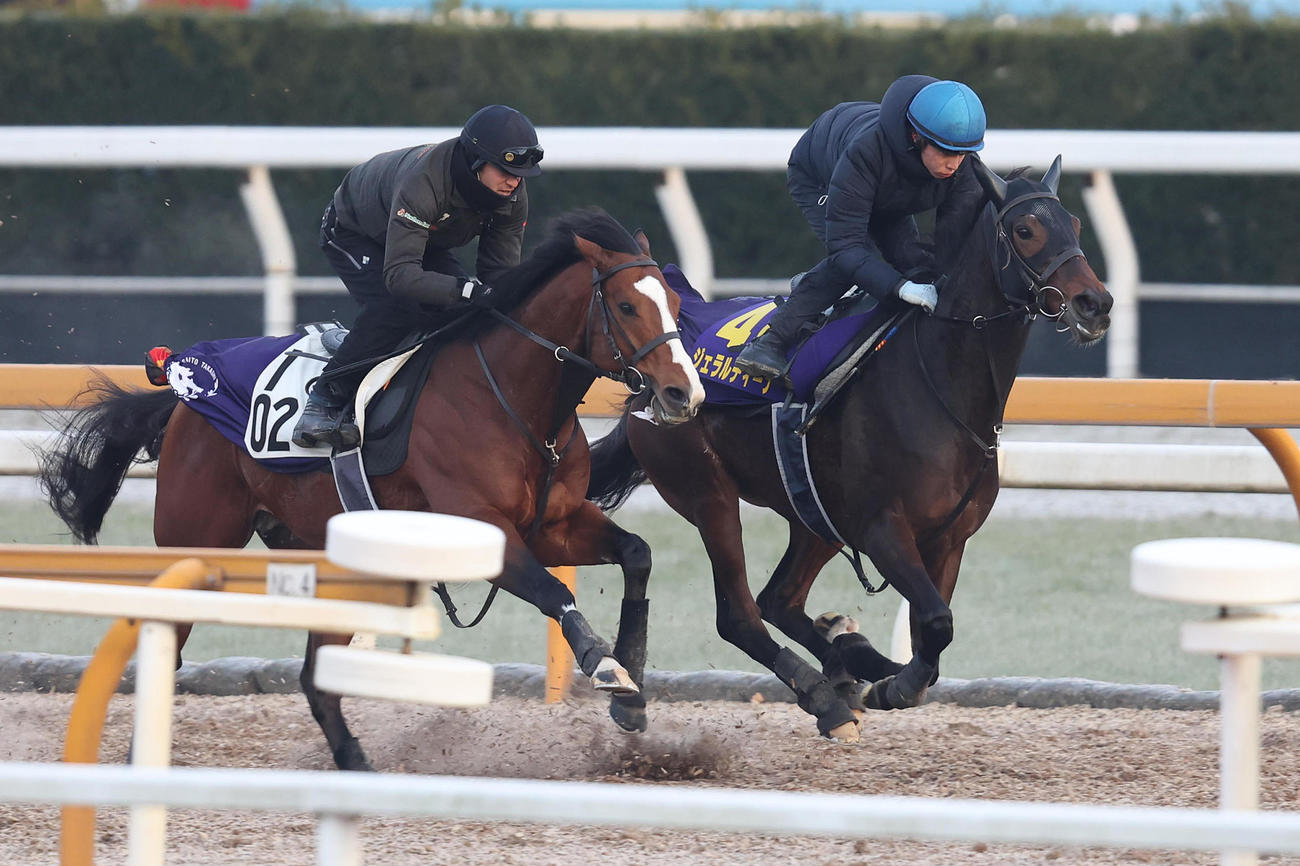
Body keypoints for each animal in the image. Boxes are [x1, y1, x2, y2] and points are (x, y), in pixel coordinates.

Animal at [39, 208, 705, 771]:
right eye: (626, 305)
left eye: (675, 302)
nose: (684, 393)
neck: (513, 399)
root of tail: (182, 390)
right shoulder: (485, 530)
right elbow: (553, 592)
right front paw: (606, 667)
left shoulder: (555, 524)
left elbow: (637, 555)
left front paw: (632, 689)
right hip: (199, 536)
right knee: (172, 635)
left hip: (331, 559)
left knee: (314, 676)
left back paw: (354, 761)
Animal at [586, 159, 1113, 742]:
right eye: (1025, 230)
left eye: (1076, 226)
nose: (1096, 304)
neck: (942, 383)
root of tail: (648, 384)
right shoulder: (882, 528)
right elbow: (935, 622)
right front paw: (892, 685)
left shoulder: (949, 537)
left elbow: (933, 632)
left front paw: (881, 672)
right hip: (708, 494)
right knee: (741, 614)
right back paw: (830, 695)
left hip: (814, 513)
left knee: (780, 598)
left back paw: (846, 661)